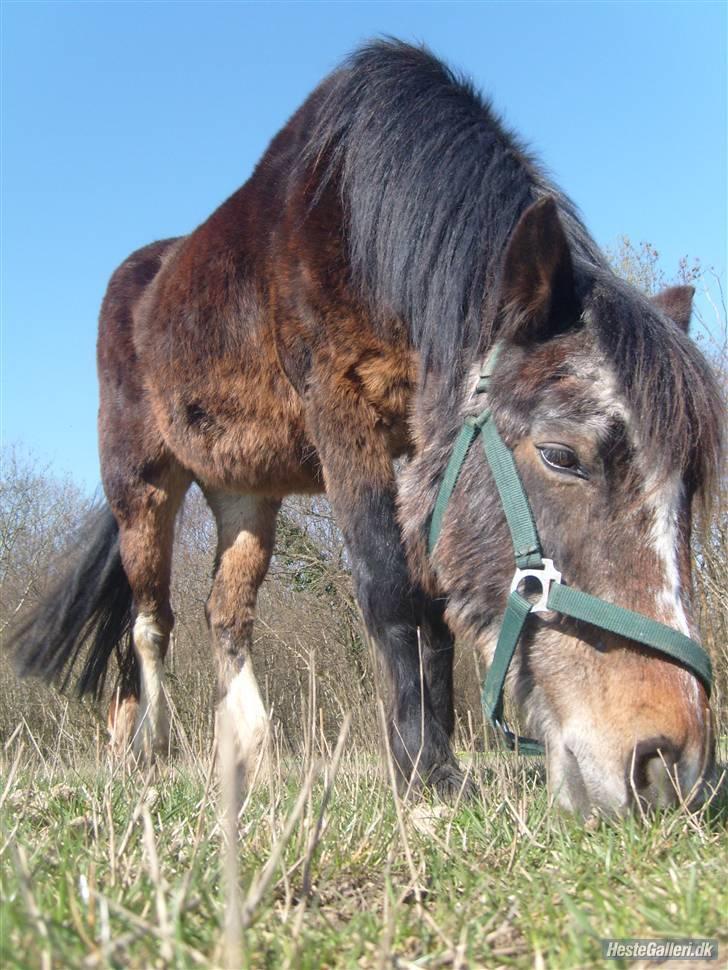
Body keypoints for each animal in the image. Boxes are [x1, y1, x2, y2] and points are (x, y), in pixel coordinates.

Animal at [8, 37, 720, 812]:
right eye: (562, 455)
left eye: (689, 489)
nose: (671, 764)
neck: (361, 219)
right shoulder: (340, 413)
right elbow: (388, 585)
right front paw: (421, 768)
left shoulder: (422, 439)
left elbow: (432, 596)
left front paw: (442, 754)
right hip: (142, 488)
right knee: (150, 623)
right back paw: (145, 751)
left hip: (245, 494)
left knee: (225, 614)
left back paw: (250, 754)